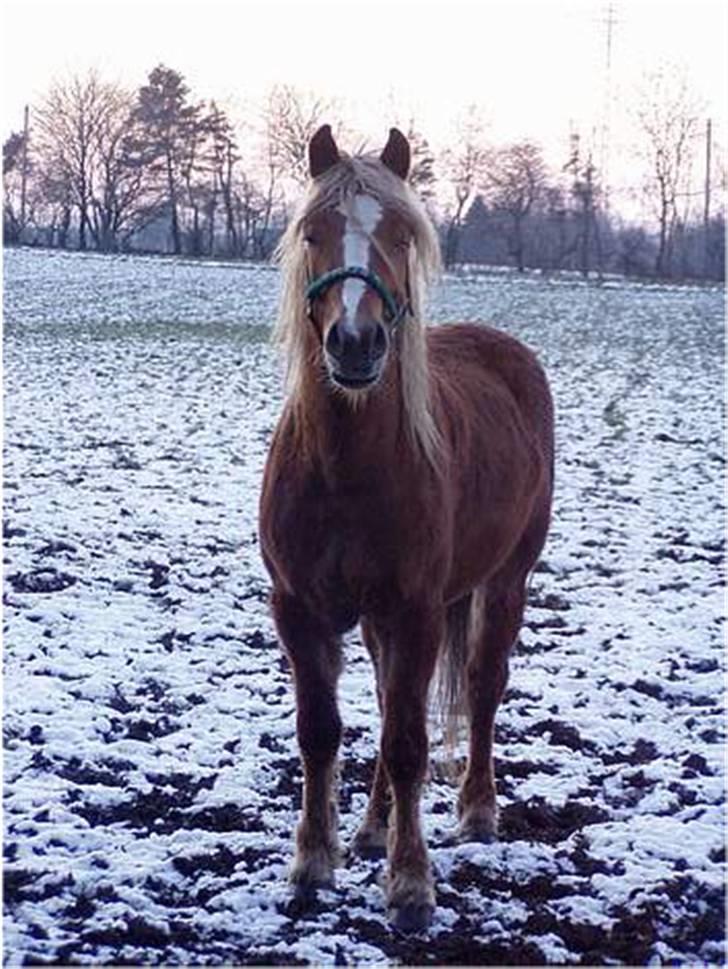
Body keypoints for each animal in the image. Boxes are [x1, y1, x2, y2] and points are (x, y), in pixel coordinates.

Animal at [260, 123, 552, 932]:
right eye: (313, 232)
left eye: (398, 232)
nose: (355, 343)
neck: (346, 469)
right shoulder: (299, 609)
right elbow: (322, 731)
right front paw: (313, 862)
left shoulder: (419, 611)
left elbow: (411, 742)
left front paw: (412, 883)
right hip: (378, 620)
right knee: (393, 698)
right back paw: (370, 827)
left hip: (504, 582)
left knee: (481, 686)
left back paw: (477, 810)